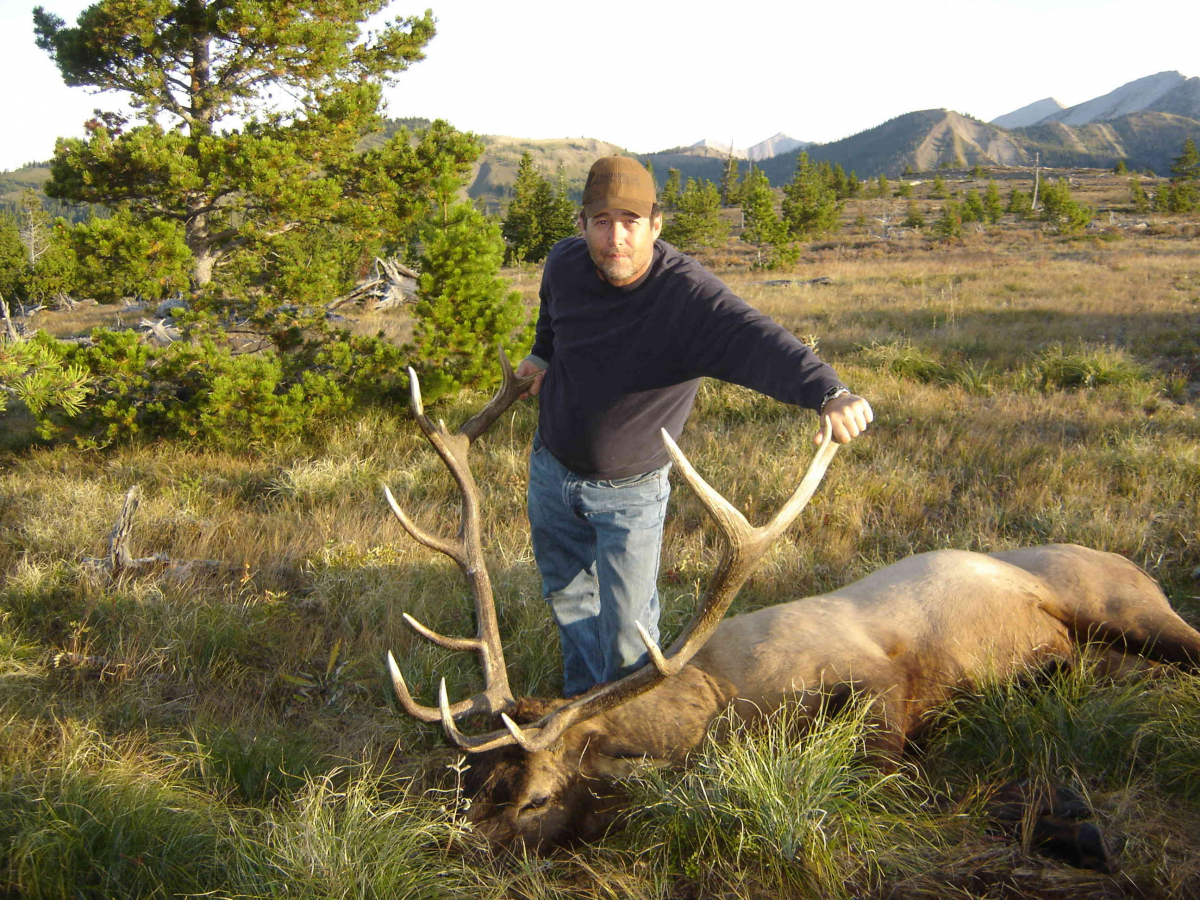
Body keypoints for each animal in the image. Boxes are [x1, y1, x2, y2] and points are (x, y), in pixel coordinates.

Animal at [381, 352, 1200, 854]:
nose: (453, 852)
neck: (718, 706)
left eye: (532, 802)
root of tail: (1130, 562)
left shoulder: (880, 680)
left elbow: (895, 770)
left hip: (1127, 606)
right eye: (469, 787)